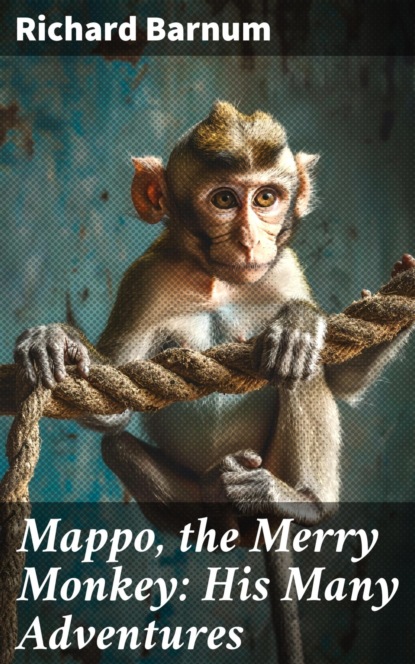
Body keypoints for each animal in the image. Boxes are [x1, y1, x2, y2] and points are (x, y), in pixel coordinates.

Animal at [14, 101, 414, 539]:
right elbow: (116, 407)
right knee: (117, 446)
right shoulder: (146, 280)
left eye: (266, 198)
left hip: (270, 465)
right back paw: (212, 498)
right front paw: (57, 340)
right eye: (224, 199)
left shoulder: (284, 269)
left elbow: (342, 380)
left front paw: (301, 320)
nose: (250, 240)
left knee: (303, 370)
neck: (216, 281)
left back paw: (304, 500)